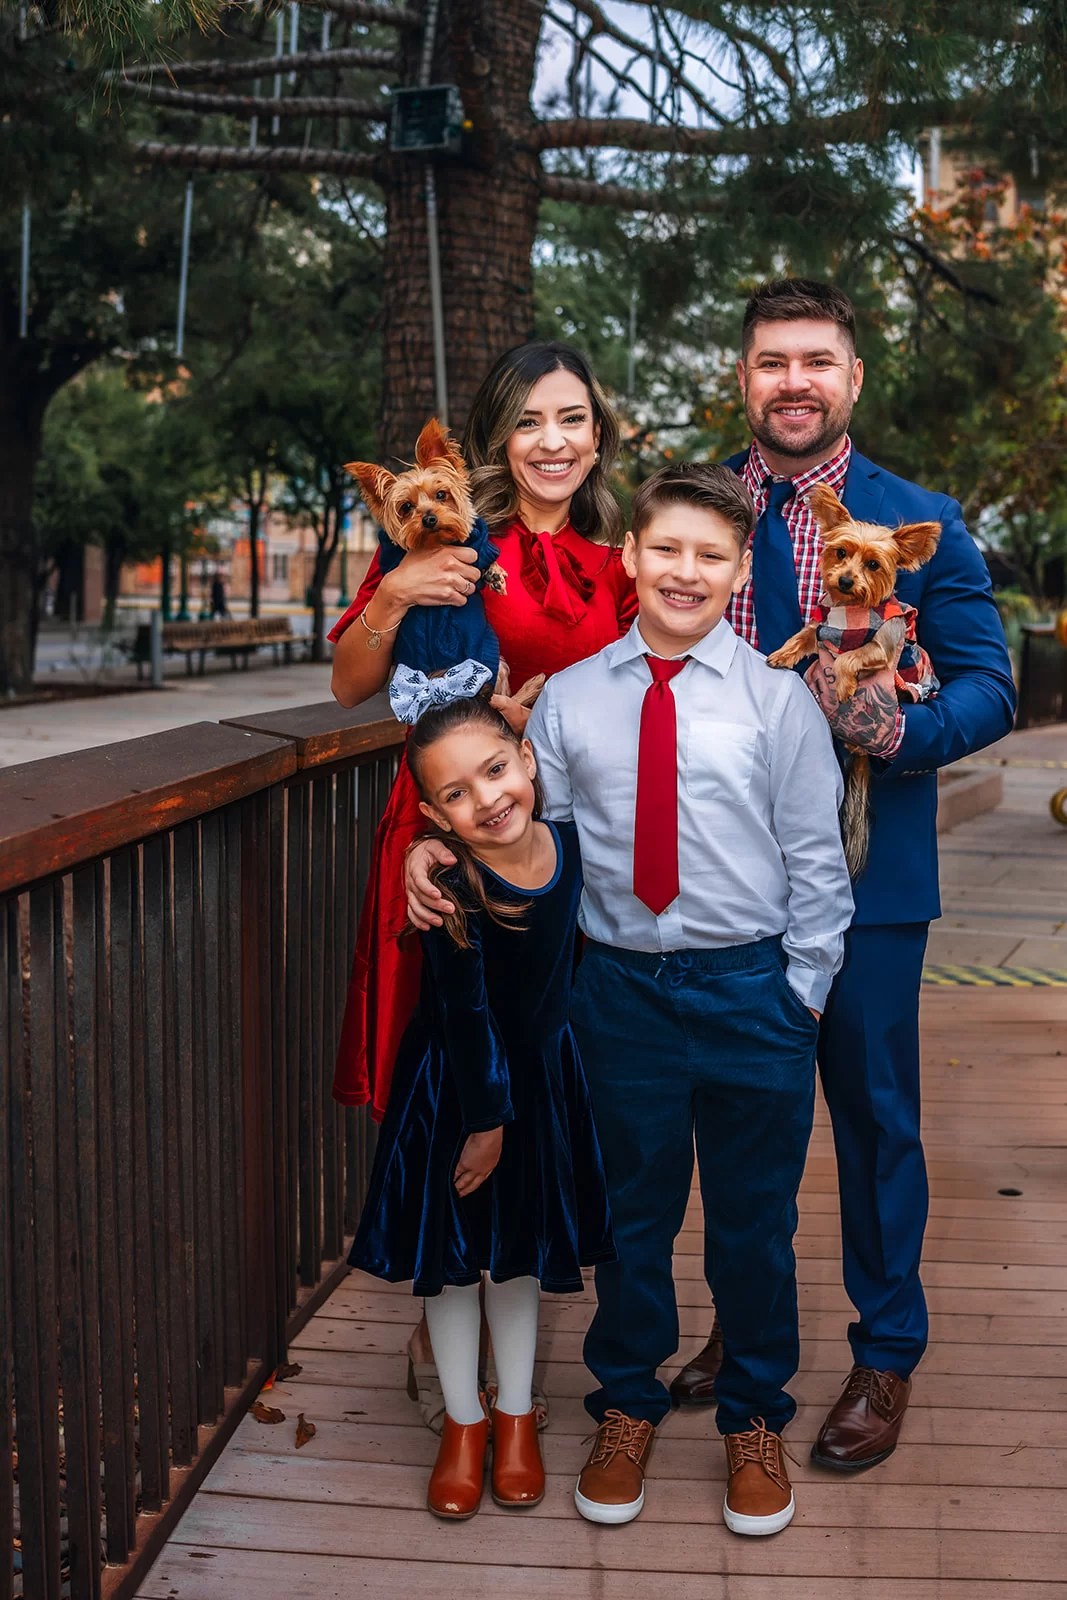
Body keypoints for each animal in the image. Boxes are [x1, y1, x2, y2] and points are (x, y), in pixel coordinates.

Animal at [345, 419, 543, 709]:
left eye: (441, 494)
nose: (429, 518)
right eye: (406, 507)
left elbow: (486, 558)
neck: (438, 543)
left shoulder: (478, 544)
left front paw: (494, 575)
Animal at [767, 483, 941, 877]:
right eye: (841, 552)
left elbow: (849, 658)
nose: (845, 580)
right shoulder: (822, 625)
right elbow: (803, 635)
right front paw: (782, 655)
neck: (850, 610)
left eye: (874, 564)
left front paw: (845, 685)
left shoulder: (882, 647)